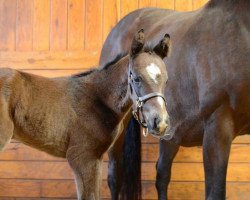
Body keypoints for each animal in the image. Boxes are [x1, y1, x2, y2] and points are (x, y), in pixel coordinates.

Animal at [0, 30, 171, 200]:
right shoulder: (83, 157)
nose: (160, 122)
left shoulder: (96, 158)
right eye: (136, 78)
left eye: (166, 81)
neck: (98, 98)